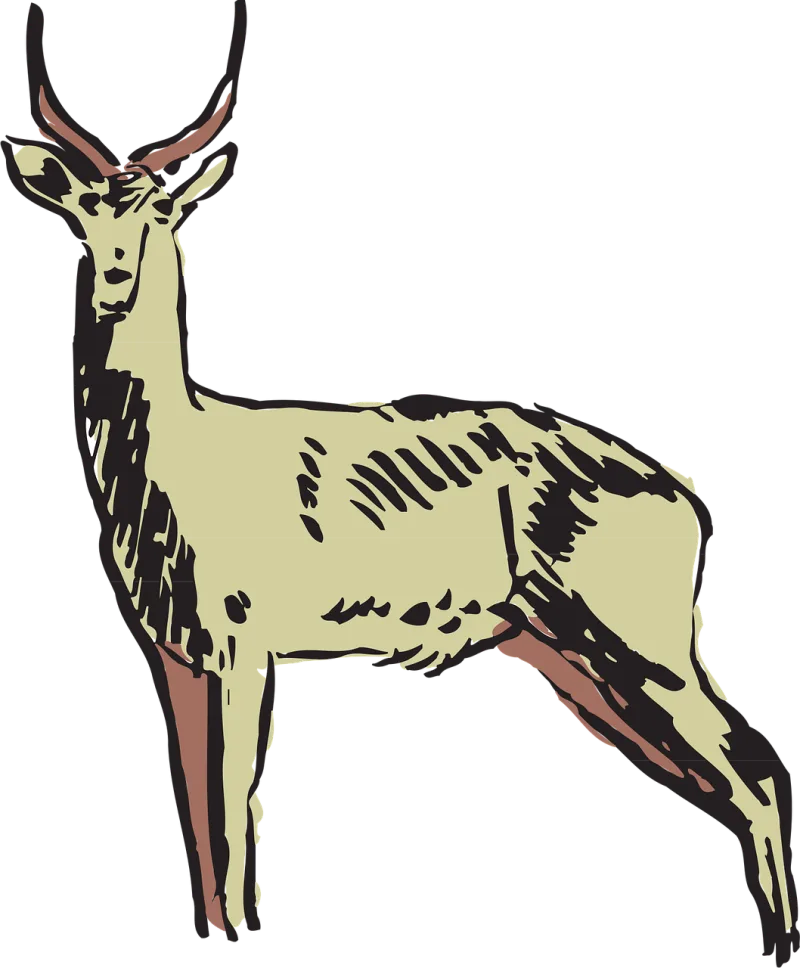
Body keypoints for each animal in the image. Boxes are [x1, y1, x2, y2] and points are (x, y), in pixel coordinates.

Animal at [3, 5, 798, 960]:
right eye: (83, 210)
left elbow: (237, 833)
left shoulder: (245, 651)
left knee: (759, 776)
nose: (115, 280)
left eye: (161, 210)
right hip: (578, 663)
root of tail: (684, 496)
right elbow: (204, 836)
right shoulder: (179, 661)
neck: (182, 466)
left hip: (645, 646)